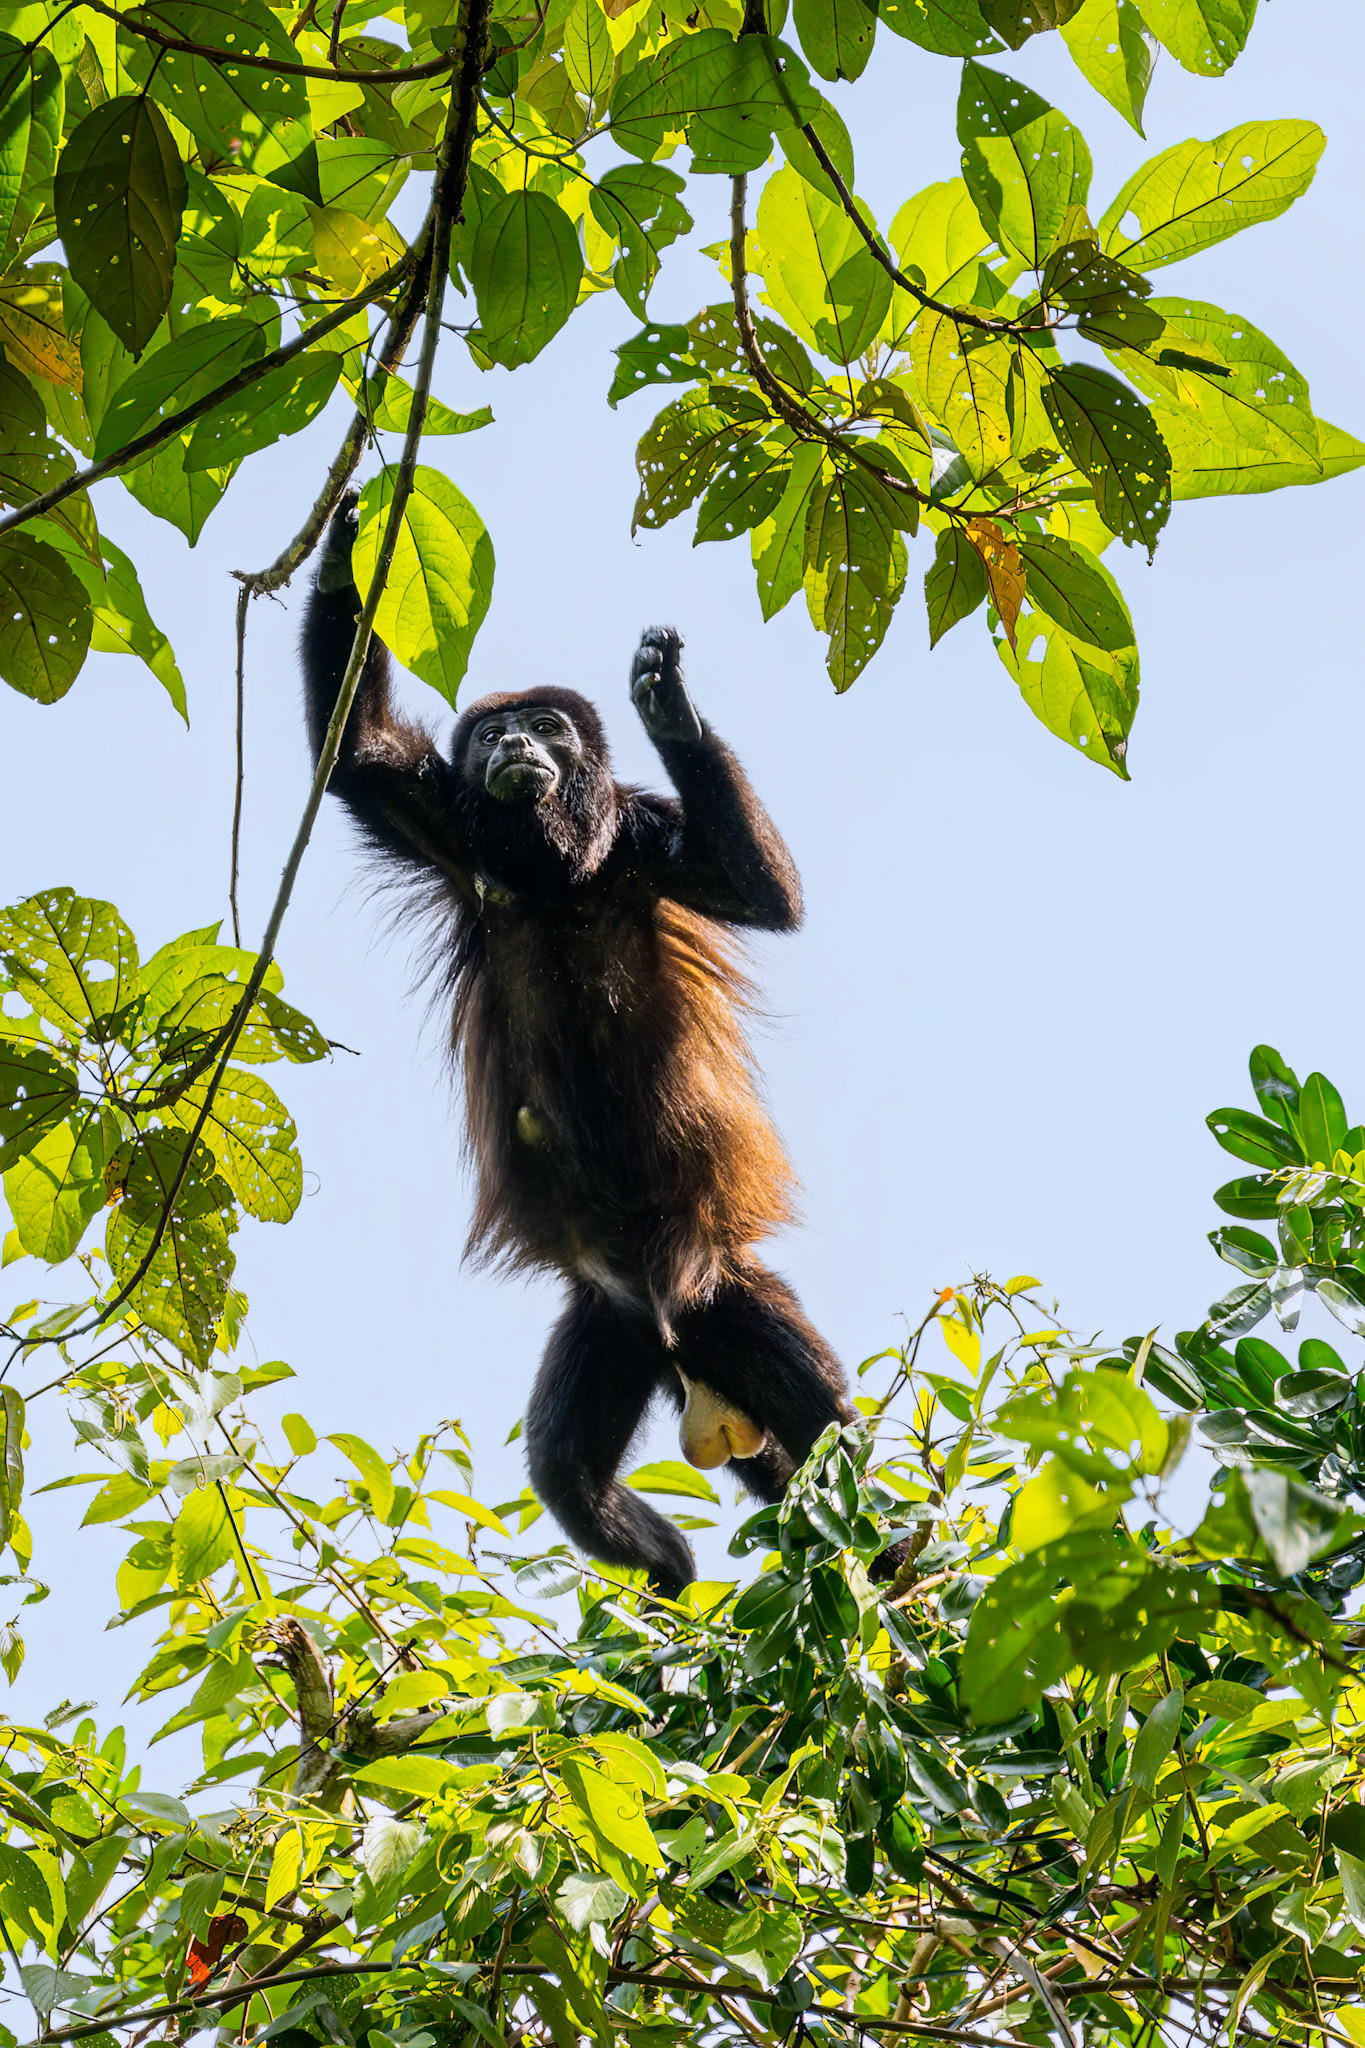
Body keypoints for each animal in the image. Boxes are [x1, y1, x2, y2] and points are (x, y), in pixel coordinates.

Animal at [300, 494, 857, 1597]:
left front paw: (672, 708)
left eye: (548, 724)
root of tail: (666, 1311)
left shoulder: (640, 837)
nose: (517, 735)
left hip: (725, 1290)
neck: (558, 872)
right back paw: (667, 1578)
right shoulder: (450, 826)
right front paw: (347, 539)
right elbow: (358, 751)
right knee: (567, 1471)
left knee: (828, 1428)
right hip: (608, 1324)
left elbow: (767, 896)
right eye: (494, 731)